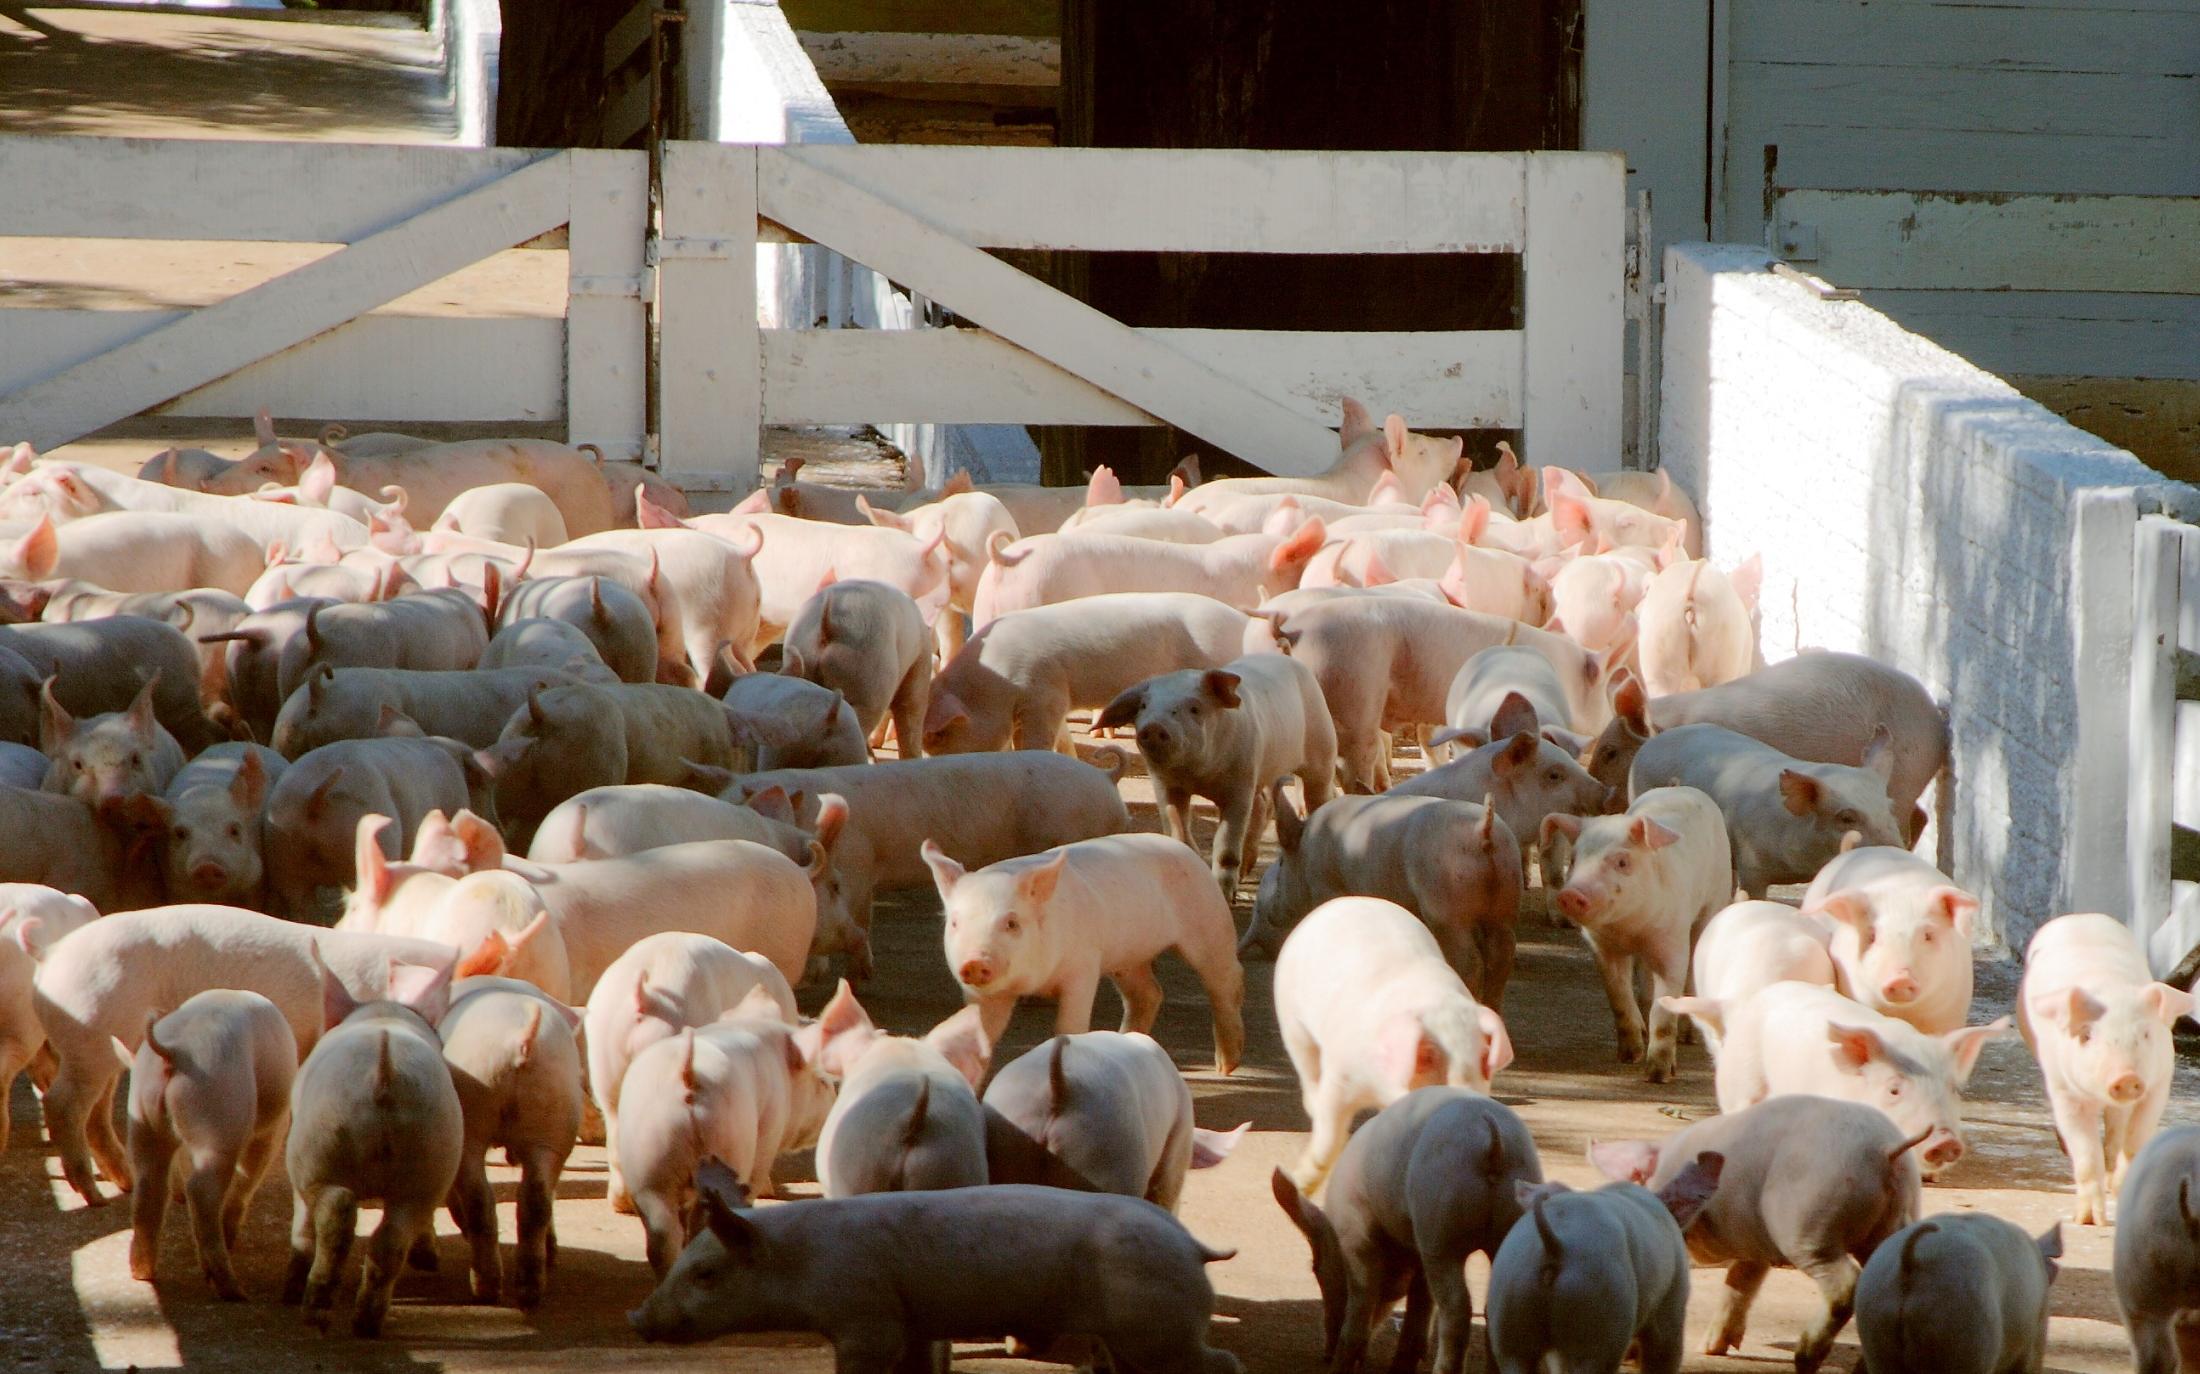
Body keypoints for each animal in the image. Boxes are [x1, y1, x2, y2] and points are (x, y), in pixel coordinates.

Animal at [1276, 1081, 1548, 1371]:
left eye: (1315, 1269)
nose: (1325, 1355)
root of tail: (1493, 1140)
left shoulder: (1358, 1236)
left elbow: (1363, 1296)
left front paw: (1341, 1365)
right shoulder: (1417, 1251)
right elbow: (1421, 1299)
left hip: (1440, 1224)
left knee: (1457, 1308)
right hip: (1509, 1213)